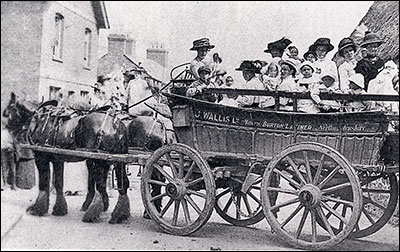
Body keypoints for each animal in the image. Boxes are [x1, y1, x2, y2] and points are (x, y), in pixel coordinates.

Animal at [3, 93, 131, 223]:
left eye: (11, 107)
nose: (6, 125)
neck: (40, 118)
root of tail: (116, 125)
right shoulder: (57, 160)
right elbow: (58, 183)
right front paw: (60, 209)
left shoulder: (41, 157)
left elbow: (44, 183)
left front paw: (38, 209)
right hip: (116, 161)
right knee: (123, 184)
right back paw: (119, 214)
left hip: (97, 161)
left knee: (101, 185)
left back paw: (92, 213)